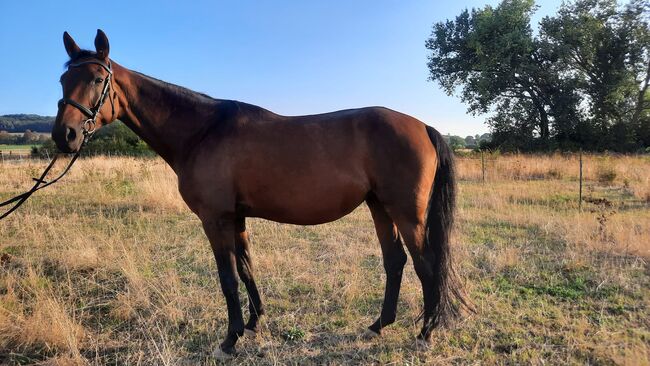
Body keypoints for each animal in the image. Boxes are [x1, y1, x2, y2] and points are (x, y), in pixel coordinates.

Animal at [52, 30, 466, 358]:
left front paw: (230, 339)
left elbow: (228, 277)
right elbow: (247, 269)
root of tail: (423, 126)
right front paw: (253, 323)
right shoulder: (236, 218)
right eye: (62, 79)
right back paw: (380, 324)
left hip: (406, 212)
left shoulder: (215, 219)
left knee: (426, 264)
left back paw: (425, 332)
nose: (64, 135)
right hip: (379, 206)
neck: (202, 131)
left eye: (96, 79)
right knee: (395, 260)